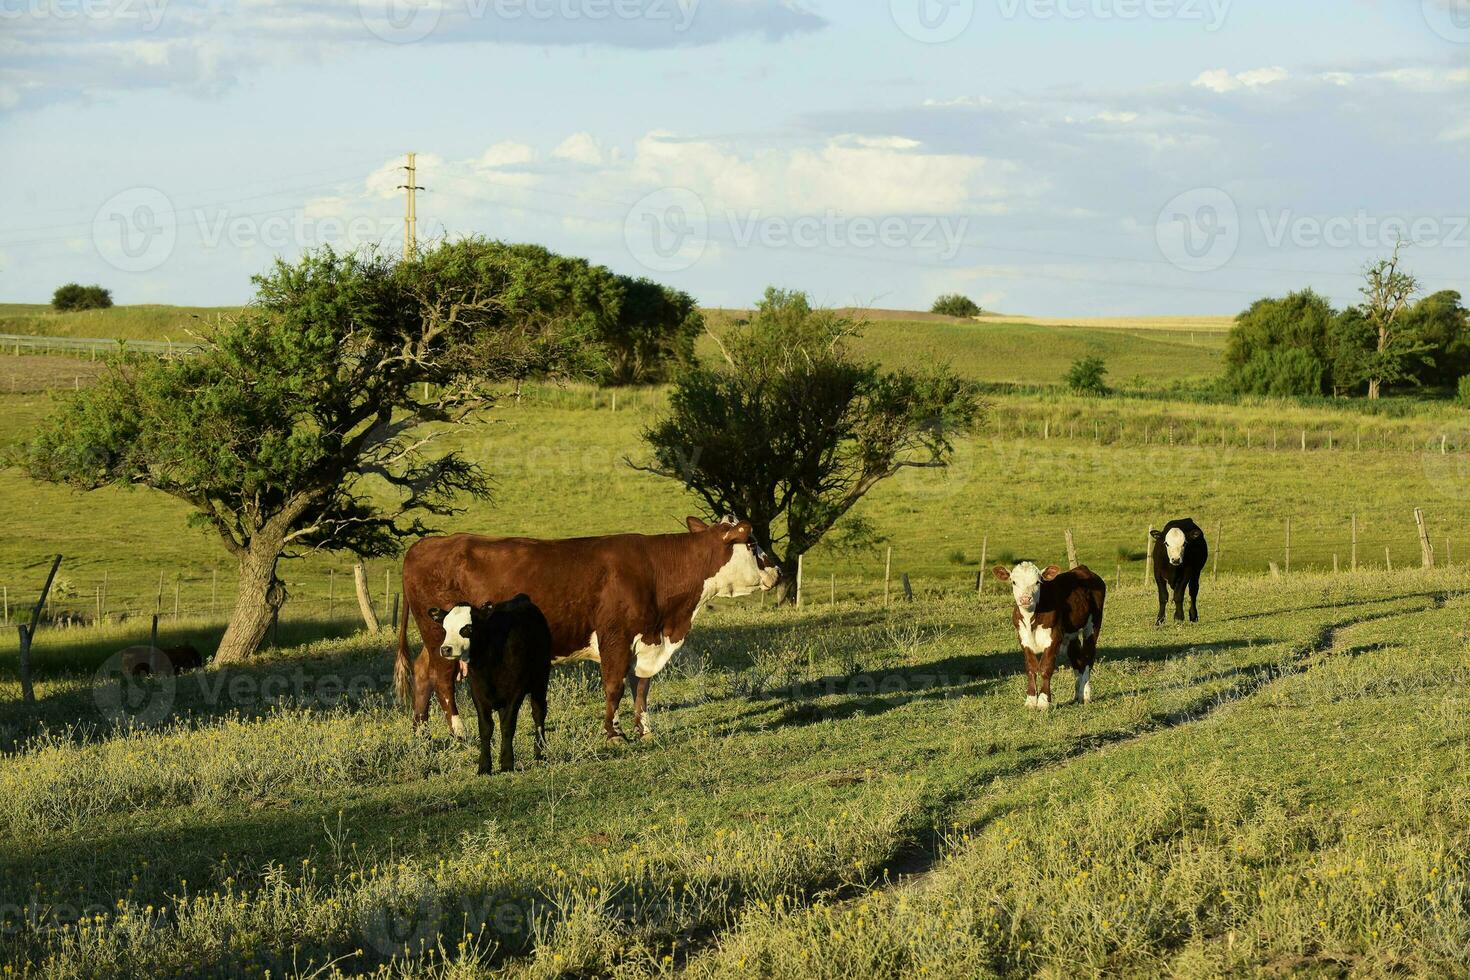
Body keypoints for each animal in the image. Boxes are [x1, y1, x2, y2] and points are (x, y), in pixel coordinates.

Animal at [391, 517, 782, 740]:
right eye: (752, 543)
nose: (777, 570)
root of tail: (427, 543)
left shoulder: (646, 639)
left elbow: (641, 687)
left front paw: (644, 729)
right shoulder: (615, 636)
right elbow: (614, 686)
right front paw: (613, 733)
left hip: (436, 637)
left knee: (423, 671)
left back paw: (422, 732)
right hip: (443, 637)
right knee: (441, 678)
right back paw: (459, 733)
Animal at [993, 564, 1105, 708]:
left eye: (1037, 582)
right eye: (1013, 582)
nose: (1025, 599)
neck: (1031, 619)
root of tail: (1083, 569)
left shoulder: (1054, 637)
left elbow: (1046, 668)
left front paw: (1043, 702)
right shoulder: (1023, 638)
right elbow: (1030, 668)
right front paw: (1030, 701)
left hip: (1093, 625)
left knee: (1087, 657)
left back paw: (1085, 695)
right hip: (1071, 634)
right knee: (1076, 659)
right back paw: (1077, 696)